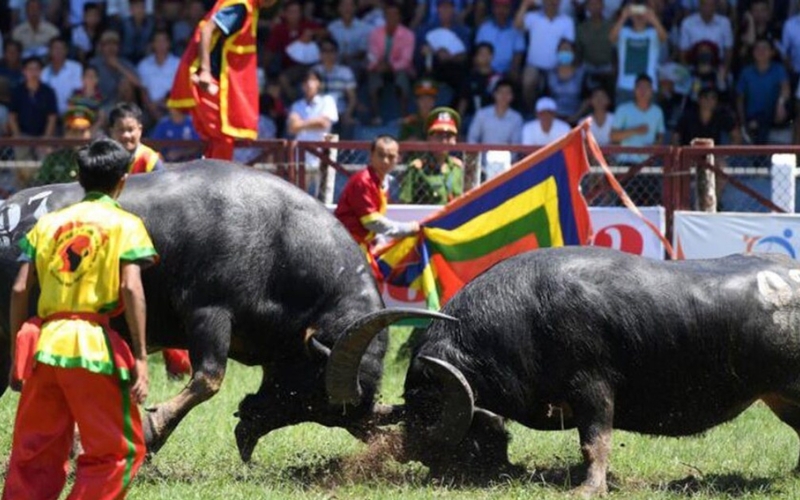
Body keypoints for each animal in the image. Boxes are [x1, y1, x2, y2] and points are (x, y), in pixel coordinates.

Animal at [0, 162, 446, 458]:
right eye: (309, 395)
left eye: (316, 410)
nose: (248, 427)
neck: (278, 241)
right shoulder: (207, 311)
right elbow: (209, 378)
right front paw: (152, 429)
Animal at [344, 246, 800, 496]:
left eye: (429, 408)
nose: (435, 471)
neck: (526, 318)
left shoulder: (593, 388)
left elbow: (594, 441)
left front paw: (589, 487)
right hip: (780, 397)